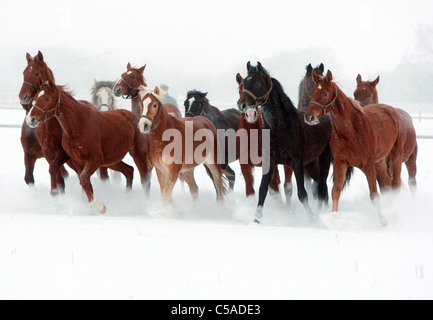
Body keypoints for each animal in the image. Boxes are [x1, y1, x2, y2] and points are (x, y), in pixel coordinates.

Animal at [26, 79, 152, 214]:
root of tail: (136, 119)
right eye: (35, 98)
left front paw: (100, 207)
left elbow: (83, 179)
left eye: (47, 98)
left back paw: (145, 205)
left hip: (138, 153)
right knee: (129, 170)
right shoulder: (78, 161)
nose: (30, 119)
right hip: (111, 160)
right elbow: (84, 181)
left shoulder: (94, 160)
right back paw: (128, 200)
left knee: (145, 179)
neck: (78, 125)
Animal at [236, 62, 330, 222]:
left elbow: (302, 194)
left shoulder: (296, 163)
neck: (280, 127)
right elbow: (262, 190)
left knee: (323, 186)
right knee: (319, 185)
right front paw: (256, 220)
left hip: (324, 159)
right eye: (244, 84)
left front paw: (312, 219)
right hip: (310, 163)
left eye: (258, 82)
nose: (242, 105)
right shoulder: (270, 161)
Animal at [304, 70, 404, 225]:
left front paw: (383, 222)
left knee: (396, 185)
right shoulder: (340, 163)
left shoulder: (368, 165)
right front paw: (334, 219)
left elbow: (374, 195)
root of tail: (391, 110)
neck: (352, 130)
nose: (309, 117)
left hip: (395, 157)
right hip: (380, 162)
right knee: (387, 185)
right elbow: (335, 191)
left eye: (325, 93)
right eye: (312, 92)